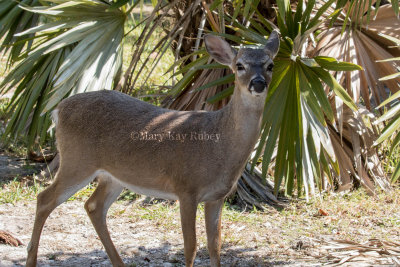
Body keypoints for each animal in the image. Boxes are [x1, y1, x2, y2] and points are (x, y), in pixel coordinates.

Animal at [26, 31, 280, 267]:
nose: (258, 83)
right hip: (77, 160)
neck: (220, 144)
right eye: (239, 65)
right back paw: (31, 259)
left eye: (270, 65)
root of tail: (58, 109)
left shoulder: (217, 196)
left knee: (93, 206)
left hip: (114, 175)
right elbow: (191, 246)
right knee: (44, 198)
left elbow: (215, 245)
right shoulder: (186, 188)